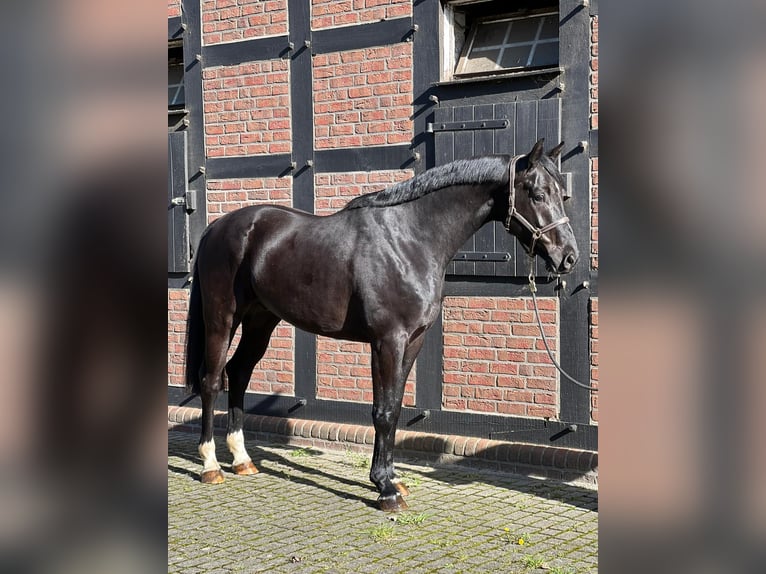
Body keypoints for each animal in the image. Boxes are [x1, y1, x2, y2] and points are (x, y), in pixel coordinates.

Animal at [184, 139, 579, 512]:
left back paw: (242, 459)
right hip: (222, 318)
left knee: (238, 373)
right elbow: (383, 412)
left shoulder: (413, 341)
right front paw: (385, 489)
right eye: (538, 194)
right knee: (211, 379)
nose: (568, 257)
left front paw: (391, 479)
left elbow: (395, 406)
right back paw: (211, 465)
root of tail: (218, 227)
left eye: (563, 193)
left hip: (261, 320)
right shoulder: (388, 341)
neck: (409, 239)